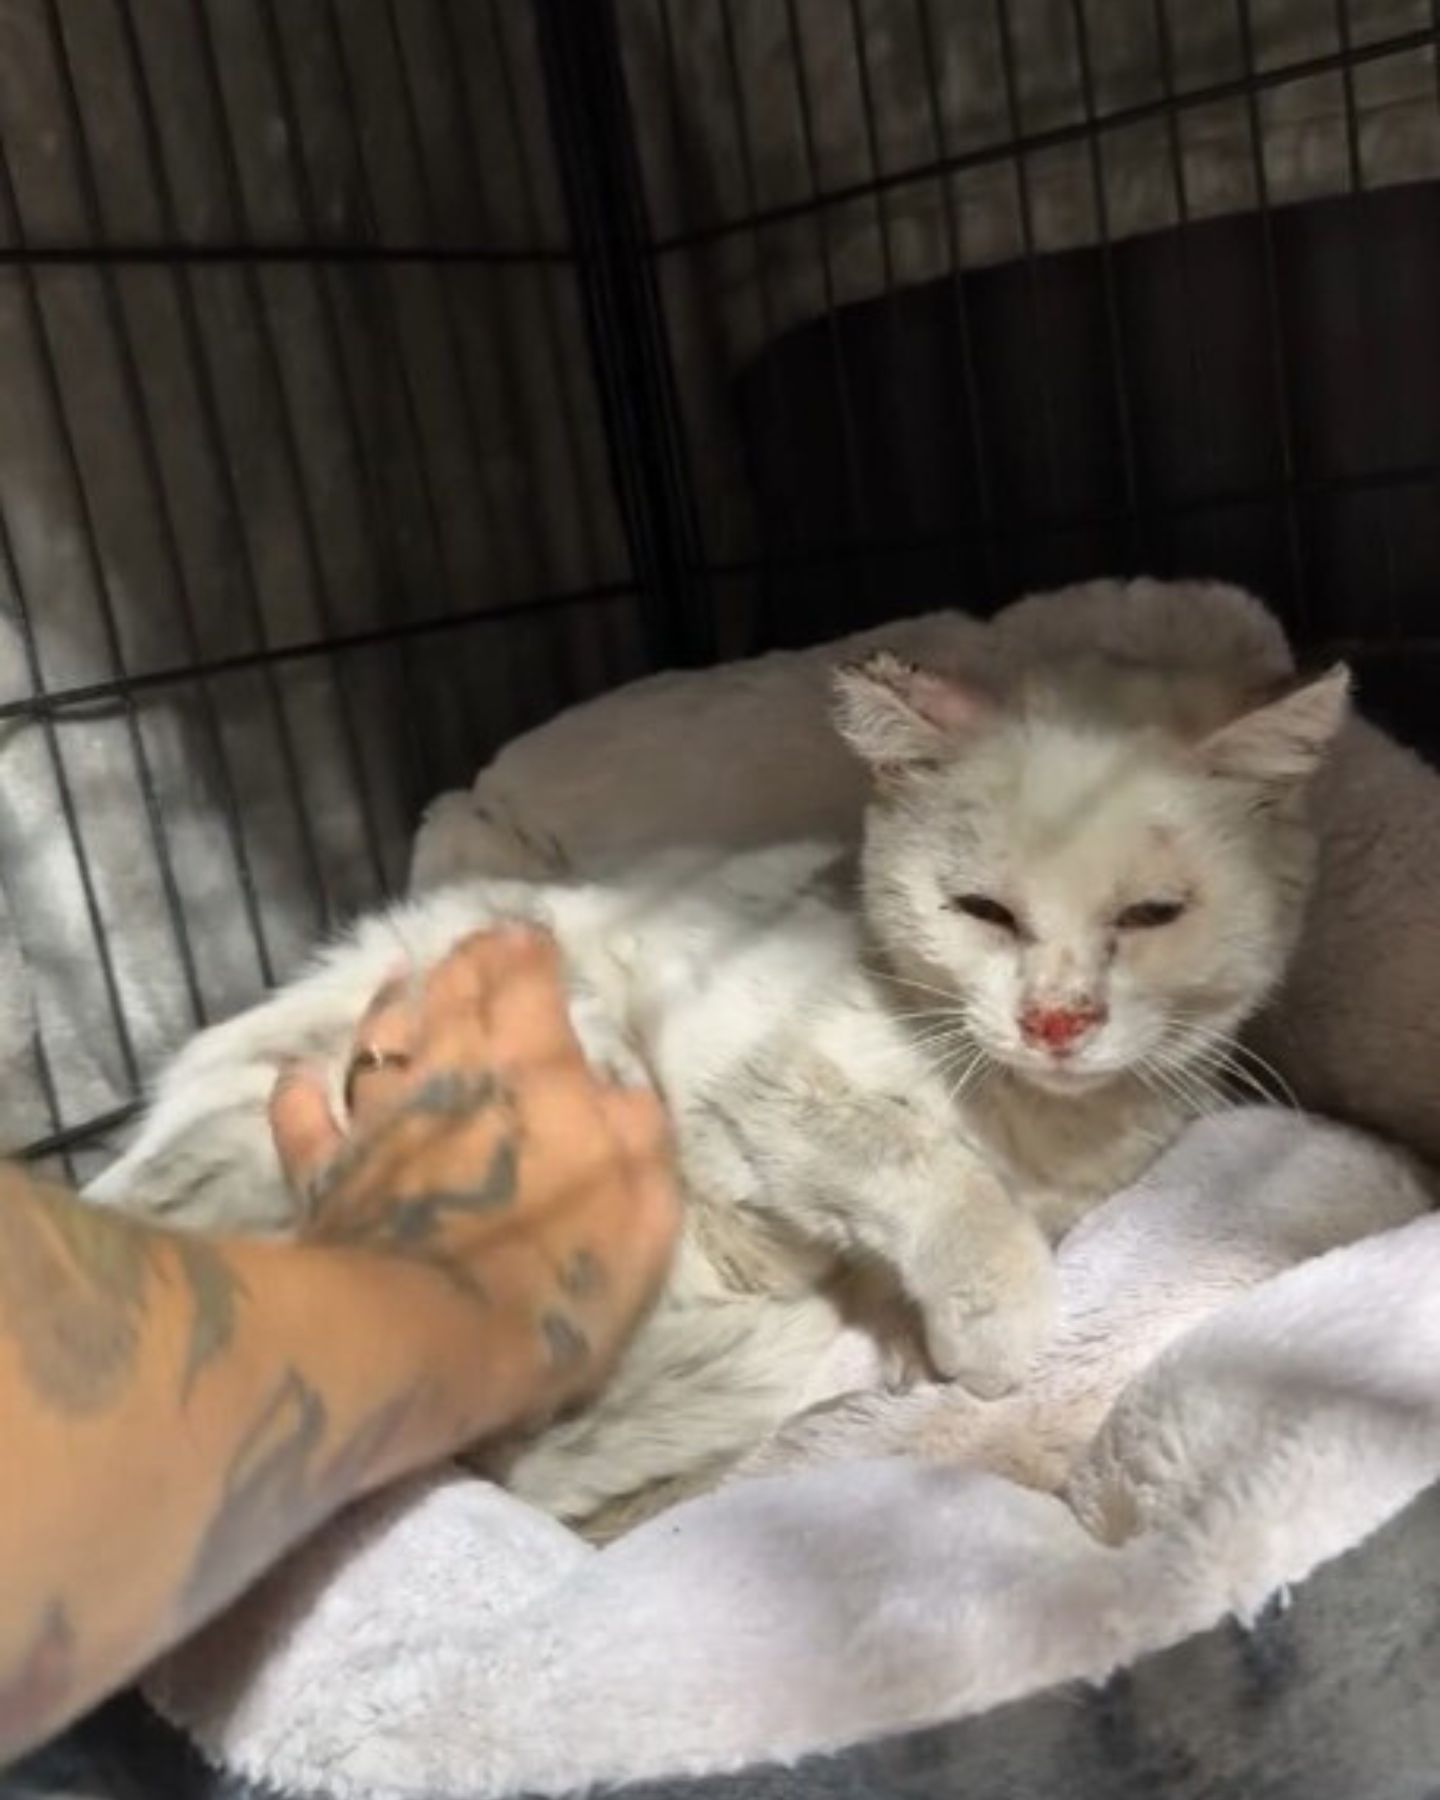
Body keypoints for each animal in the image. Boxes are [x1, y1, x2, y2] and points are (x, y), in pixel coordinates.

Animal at [92, 648, 1353, 1519]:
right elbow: (914, 1163)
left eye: (1152, 915)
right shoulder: (745, 1069)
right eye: (983, 911)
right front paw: (989, 1319)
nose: (1056, 1019)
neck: (1031, 1122)